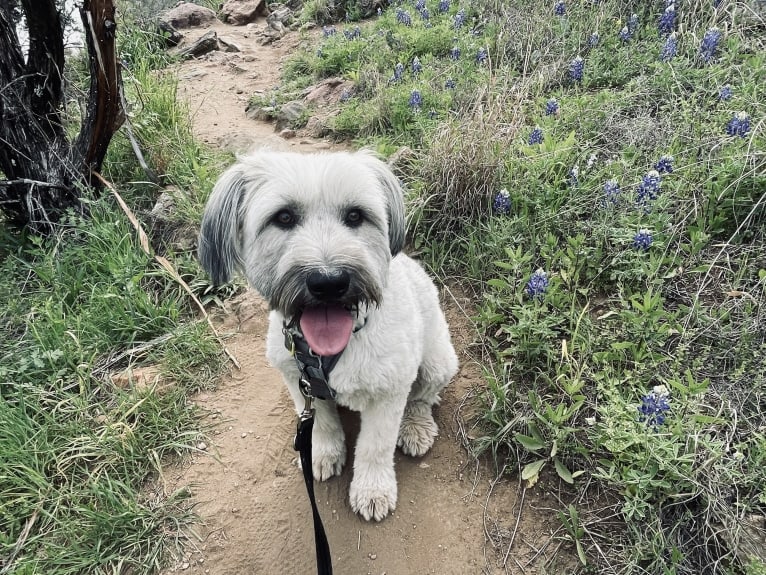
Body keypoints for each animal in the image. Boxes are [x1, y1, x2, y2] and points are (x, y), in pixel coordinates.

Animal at [201, 151, 460, 524]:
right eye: (283, 217)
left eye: (355, 215)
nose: (328, 282)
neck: (336, 347)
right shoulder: (298, 380)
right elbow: (321, 423)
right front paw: (322, 453)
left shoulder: (389, 391)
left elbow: (375, 445)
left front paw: (372, 489)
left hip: (437, 361)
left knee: (423, 397)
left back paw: (415, 426)